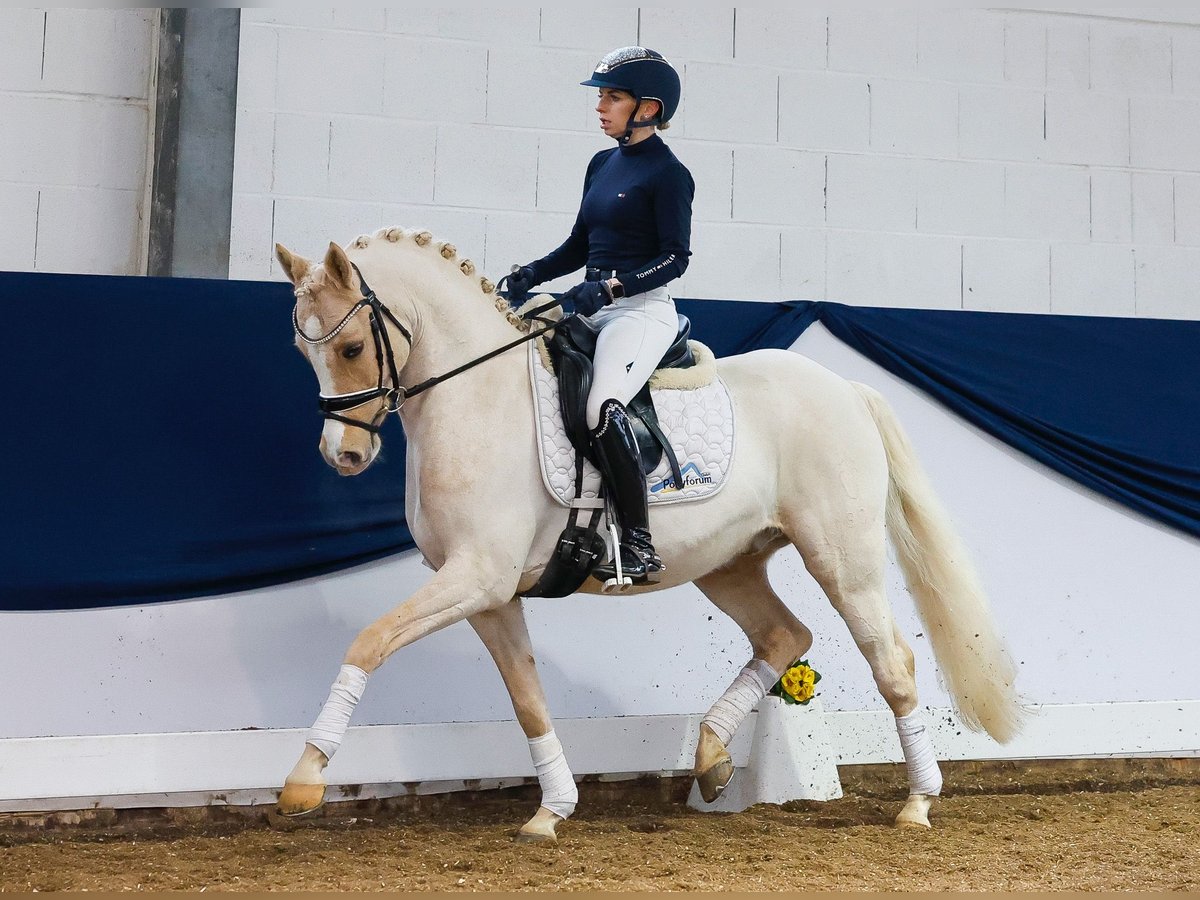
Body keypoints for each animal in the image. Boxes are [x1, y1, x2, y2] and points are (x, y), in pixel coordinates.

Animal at [272, 226, 1022, 844]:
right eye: (302, 350)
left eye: (351, 346)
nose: (343, 455)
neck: (479, 399)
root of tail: (845, 389)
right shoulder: (488, 594)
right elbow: (527, 699)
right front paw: (552, 811)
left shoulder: (476, 577)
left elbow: (369, 641)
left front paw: (304, 779)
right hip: (728, 563)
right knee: (785, 636)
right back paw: (712, 758)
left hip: (843, 559)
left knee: (892, 661)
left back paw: (918, 803)